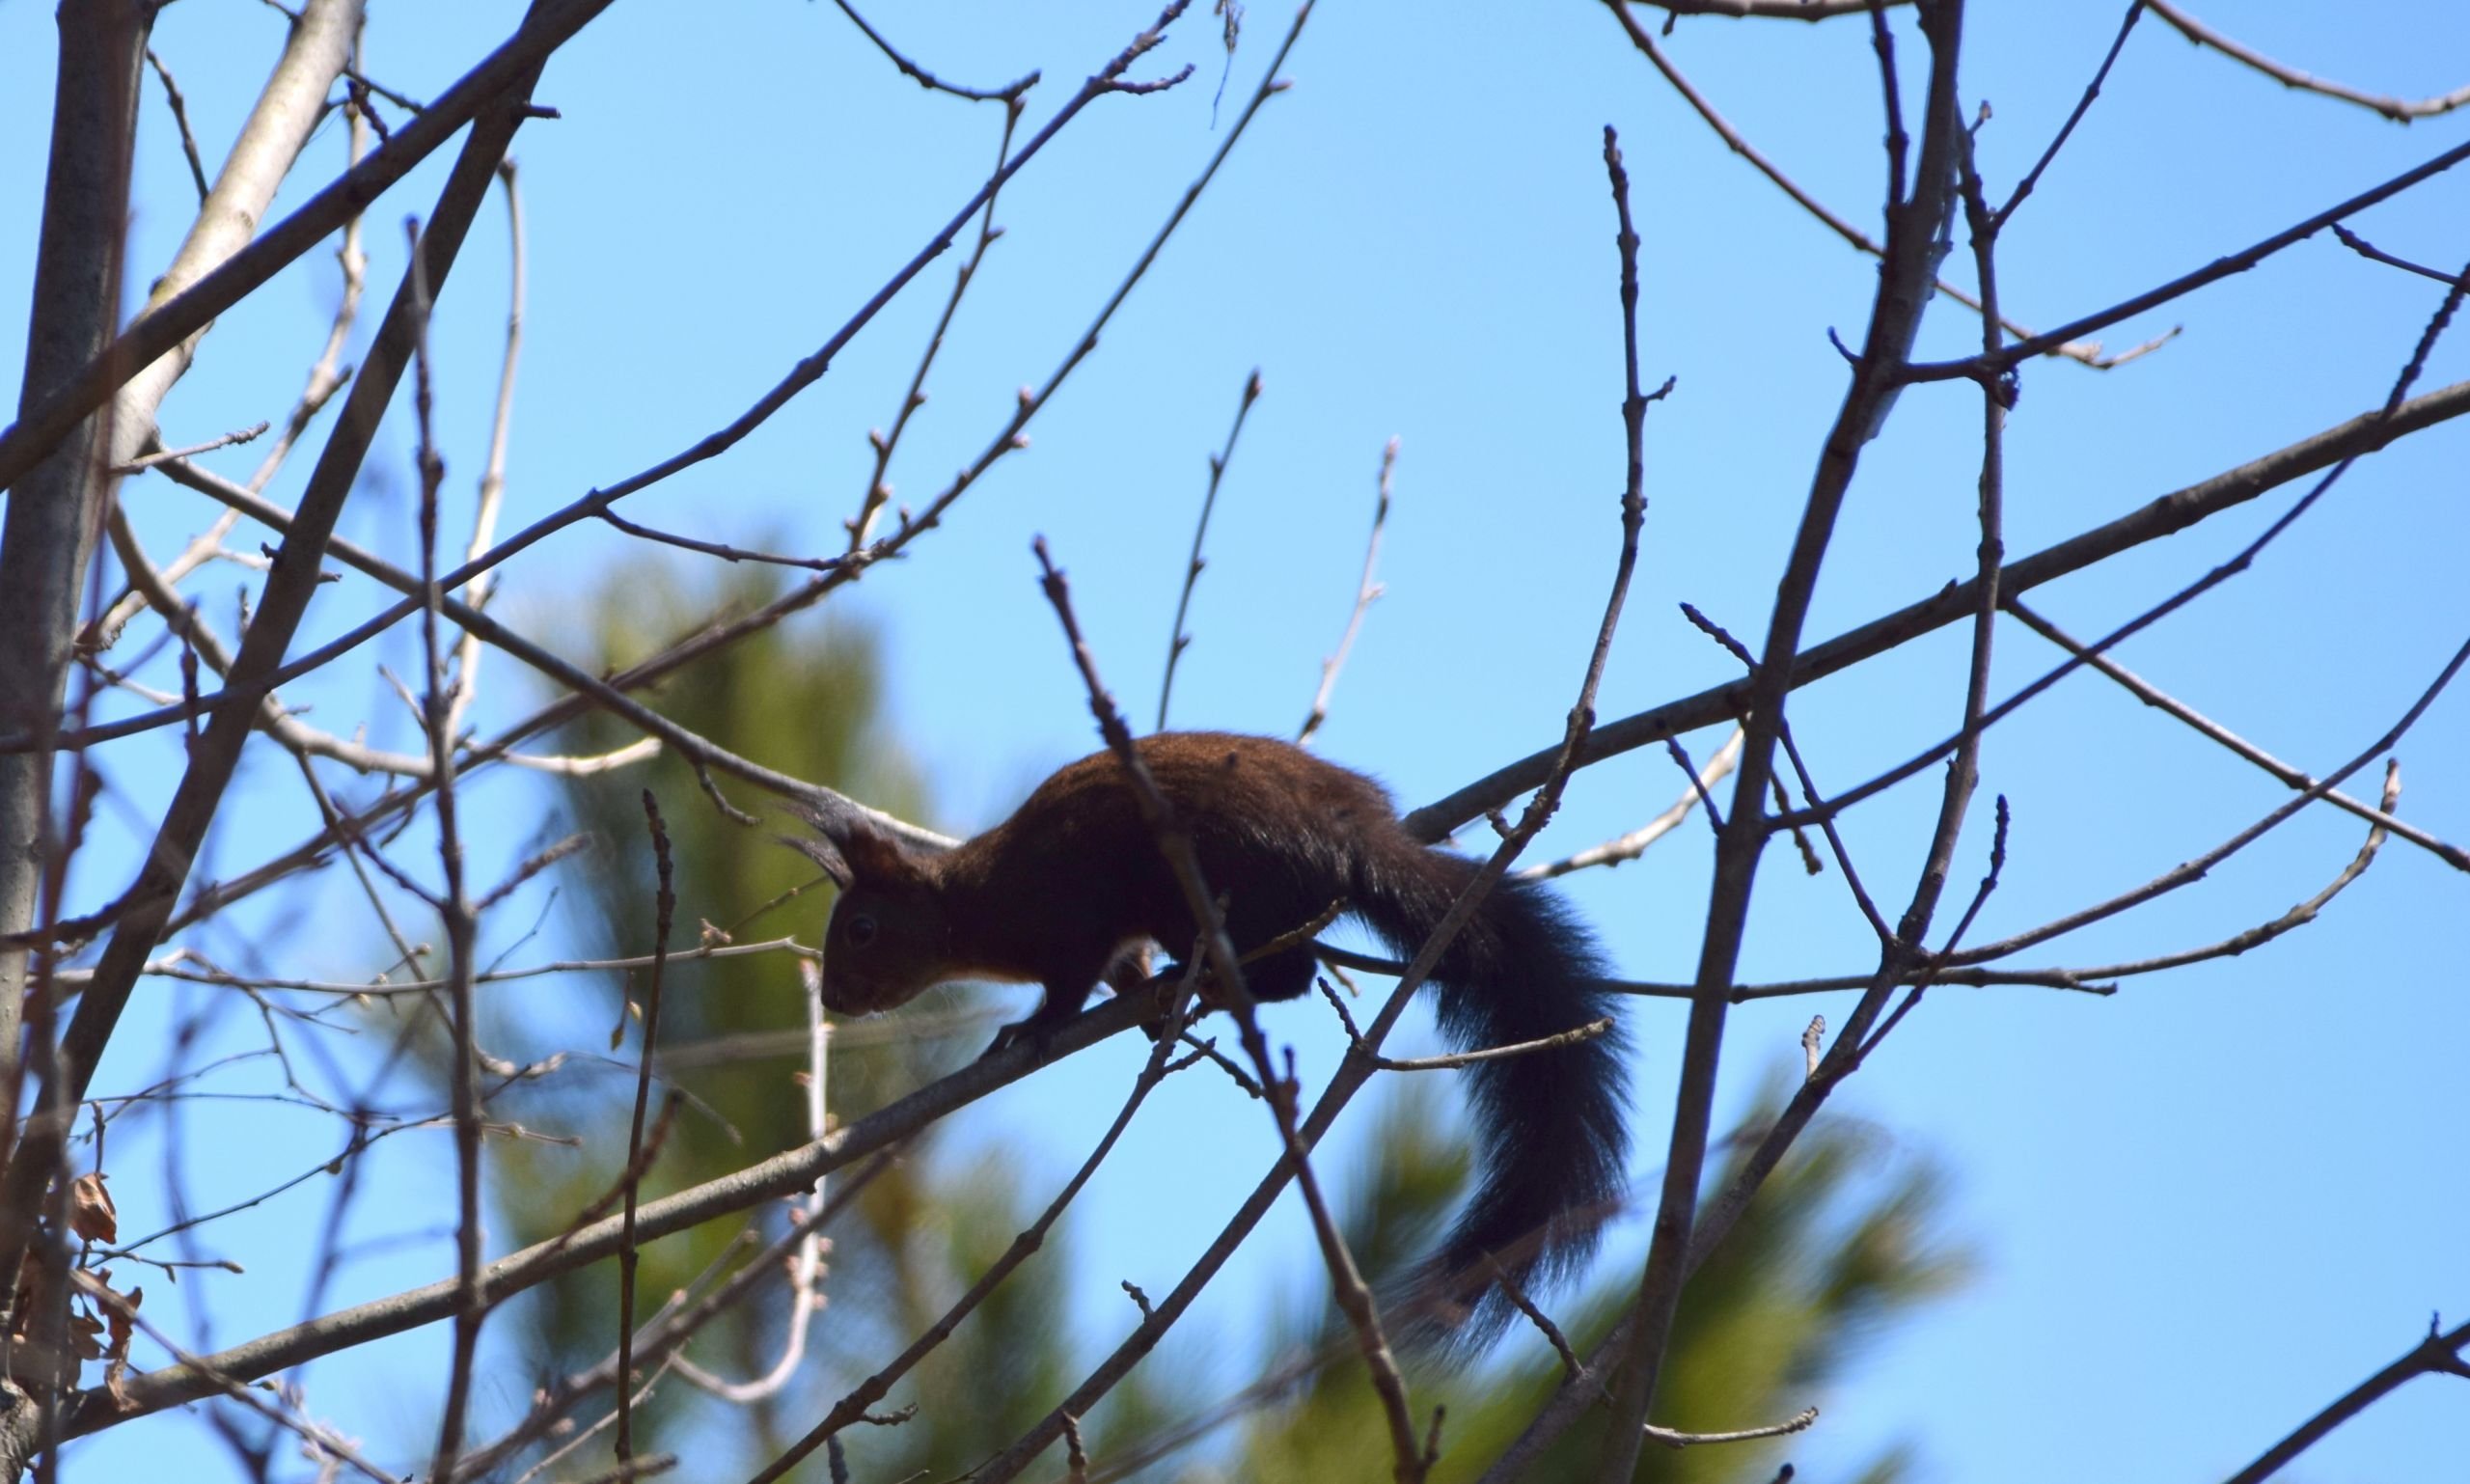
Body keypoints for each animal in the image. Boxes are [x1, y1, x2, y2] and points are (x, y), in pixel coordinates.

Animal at [800, 730, 1630, 1343]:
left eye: (862, 929)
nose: (834, 997)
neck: (970, 904)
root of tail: (1349, 838)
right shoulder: (1109, 937)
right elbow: (1120, 966)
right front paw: (1135, 1003)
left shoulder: (1066, 917)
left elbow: (1069, 983)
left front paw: (1031, 1029)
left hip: (1206, 884)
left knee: (1292, 972)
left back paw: (1210, 983)